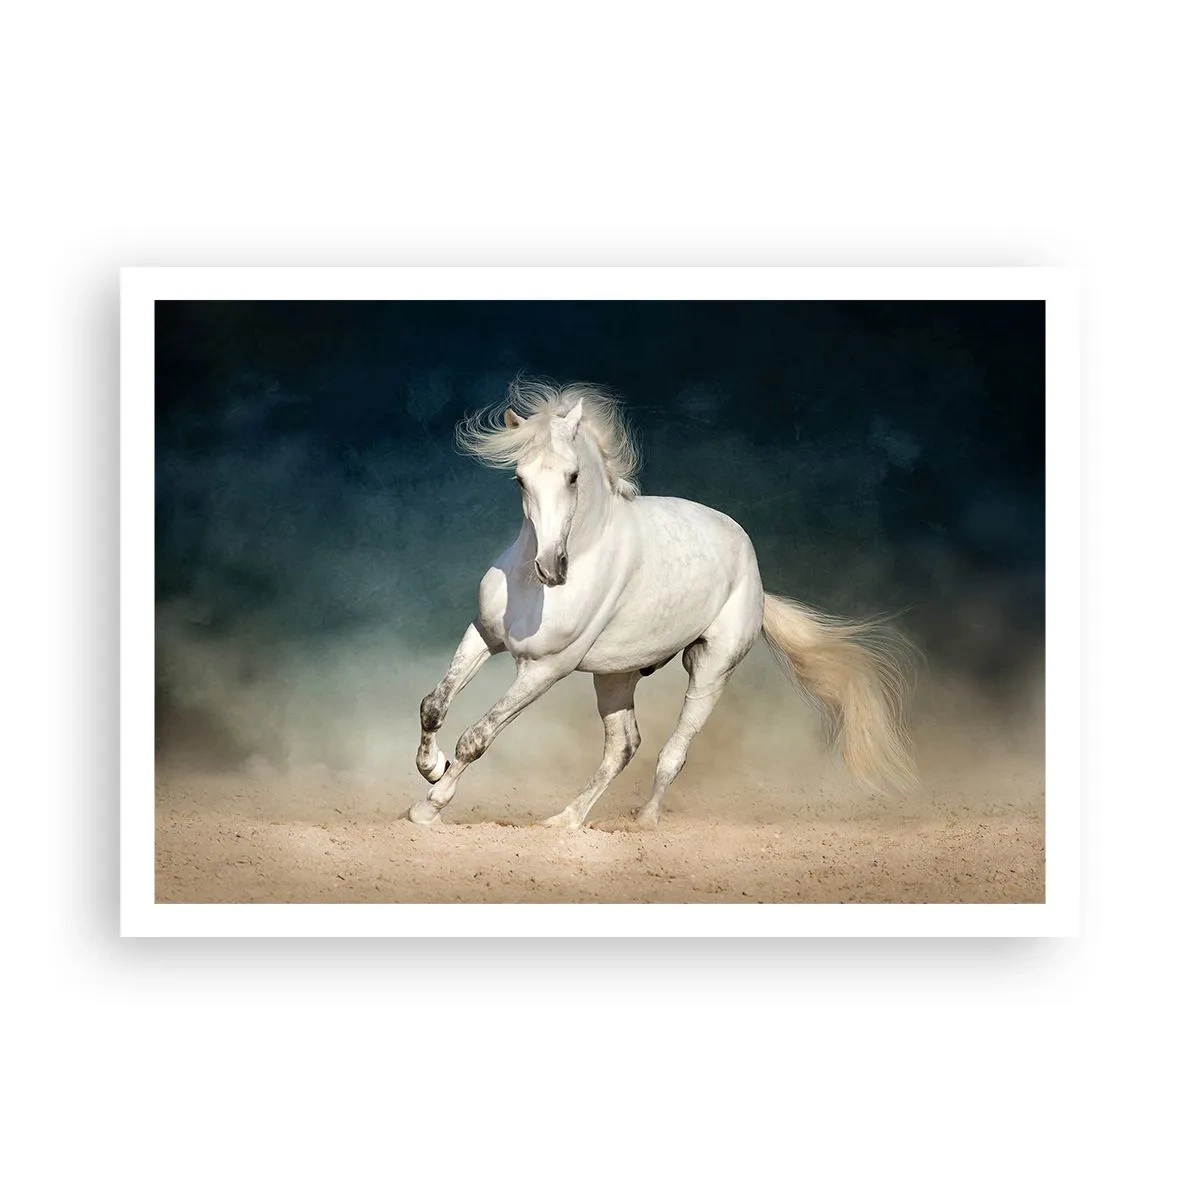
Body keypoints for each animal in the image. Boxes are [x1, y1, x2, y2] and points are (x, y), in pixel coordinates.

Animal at [411, 380, 916, 828]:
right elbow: (434, 704)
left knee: (673, 751)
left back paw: (644, 822)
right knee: (623, 746)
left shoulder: (545, 669)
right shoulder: (484, 635)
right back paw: (564, 821)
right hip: (615, 675)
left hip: (710, 669)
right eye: (520, 479)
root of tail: (756, 577)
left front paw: (427, 808)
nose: (551, 569)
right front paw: (431, 768)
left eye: (573, 476)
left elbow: (477, 737)